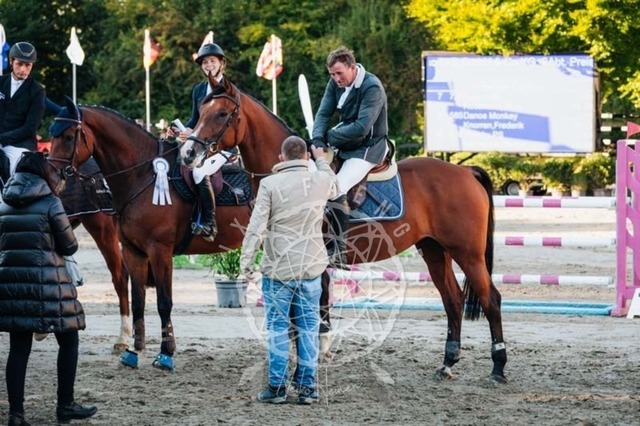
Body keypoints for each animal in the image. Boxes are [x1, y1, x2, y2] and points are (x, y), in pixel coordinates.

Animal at [46, 99, 257, 372]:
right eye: (52, 135)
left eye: (69, 136)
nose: (51, 175)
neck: (141, 176)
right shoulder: (134, 251)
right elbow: (138, 300)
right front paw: (133, 352)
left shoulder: (160, 251)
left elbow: (164, 301)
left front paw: (166, 354)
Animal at [179, 75, 507, 383]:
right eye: (201, 111)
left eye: (222, 113)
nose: (188, 153)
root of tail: (466, 171)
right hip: (435, 250)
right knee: (453, 299)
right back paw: (447, 364)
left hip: (468, 253)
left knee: (491, 299)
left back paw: (498, 367)